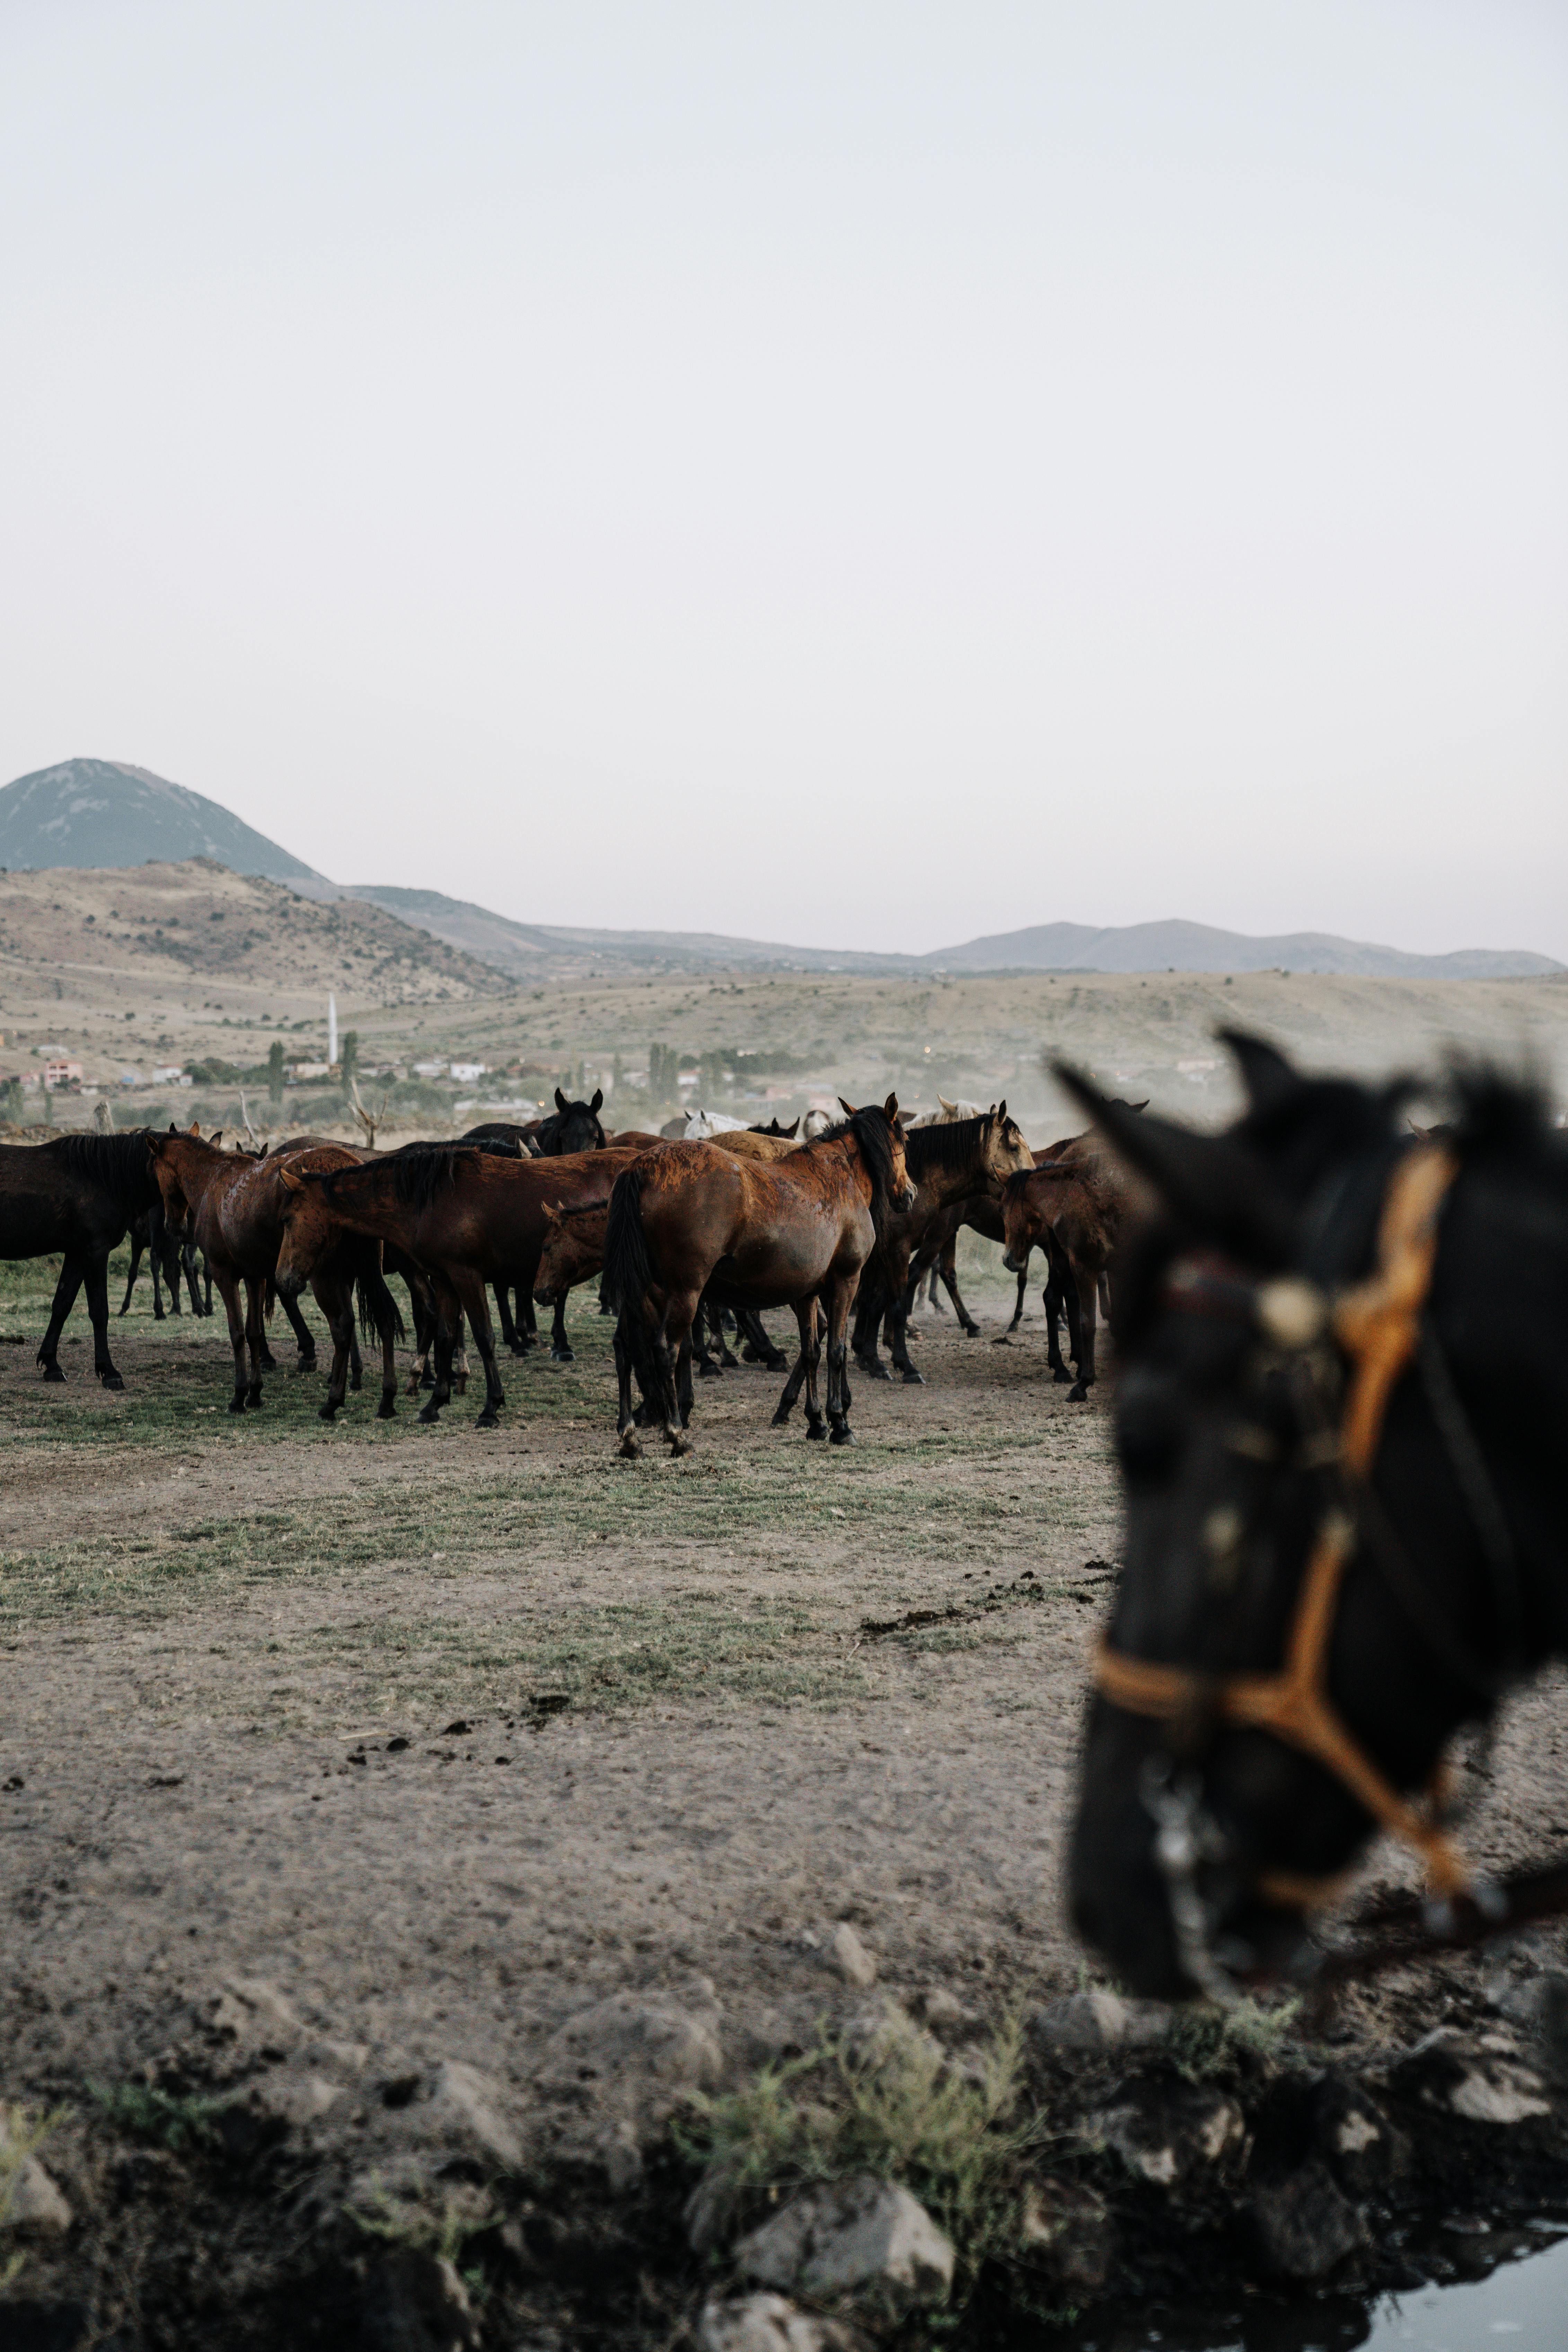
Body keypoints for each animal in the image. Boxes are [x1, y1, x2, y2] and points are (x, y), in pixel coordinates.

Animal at [606, 1096, 921, 1449]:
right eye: (905, 1139)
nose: (909, 1193)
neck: (843, 1176)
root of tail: (641, 1168)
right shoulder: (845, 1282)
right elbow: (835, 1352)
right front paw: (839, 1422)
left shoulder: (808, 1293)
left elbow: (811, 1352)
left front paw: (815, 1422)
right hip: (684, 1292)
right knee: (667, 1350)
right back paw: (675, 1432)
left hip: (641, 1289)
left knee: (625, 1345)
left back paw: (629, 1434)